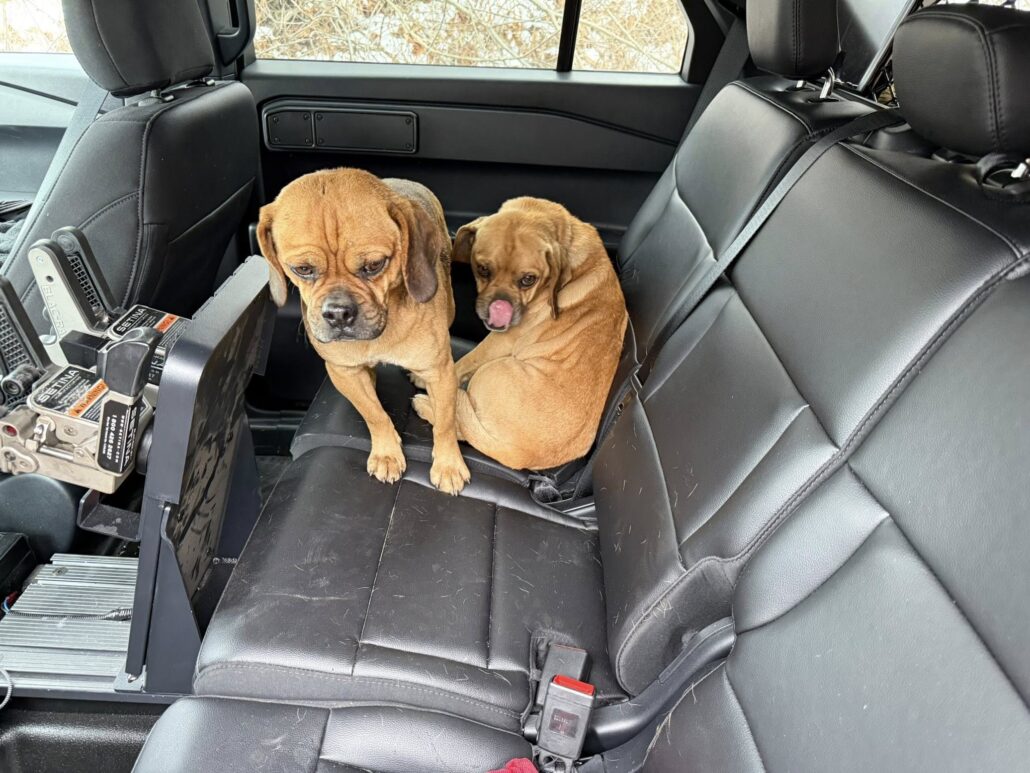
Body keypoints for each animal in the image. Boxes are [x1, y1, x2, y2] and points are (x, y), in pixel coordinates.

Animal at [256, 169, 470, 494]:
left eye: (374, 265)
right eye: (302, 269)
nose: (338, 313)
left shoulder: (441, 373)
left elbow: (445, 424)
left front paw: (448, 464)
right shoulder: (344, 372)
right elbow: (374, 414)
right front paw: (386, 453)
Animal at [413, 197, 627, 471]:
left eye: (528, 279)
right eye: (482, 269)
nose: (499, 309)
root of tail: (518, 455)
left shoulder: (499, 341)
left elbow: (465, 362)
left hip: (490, 371)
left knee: (460, 428)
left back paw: (425, 404)